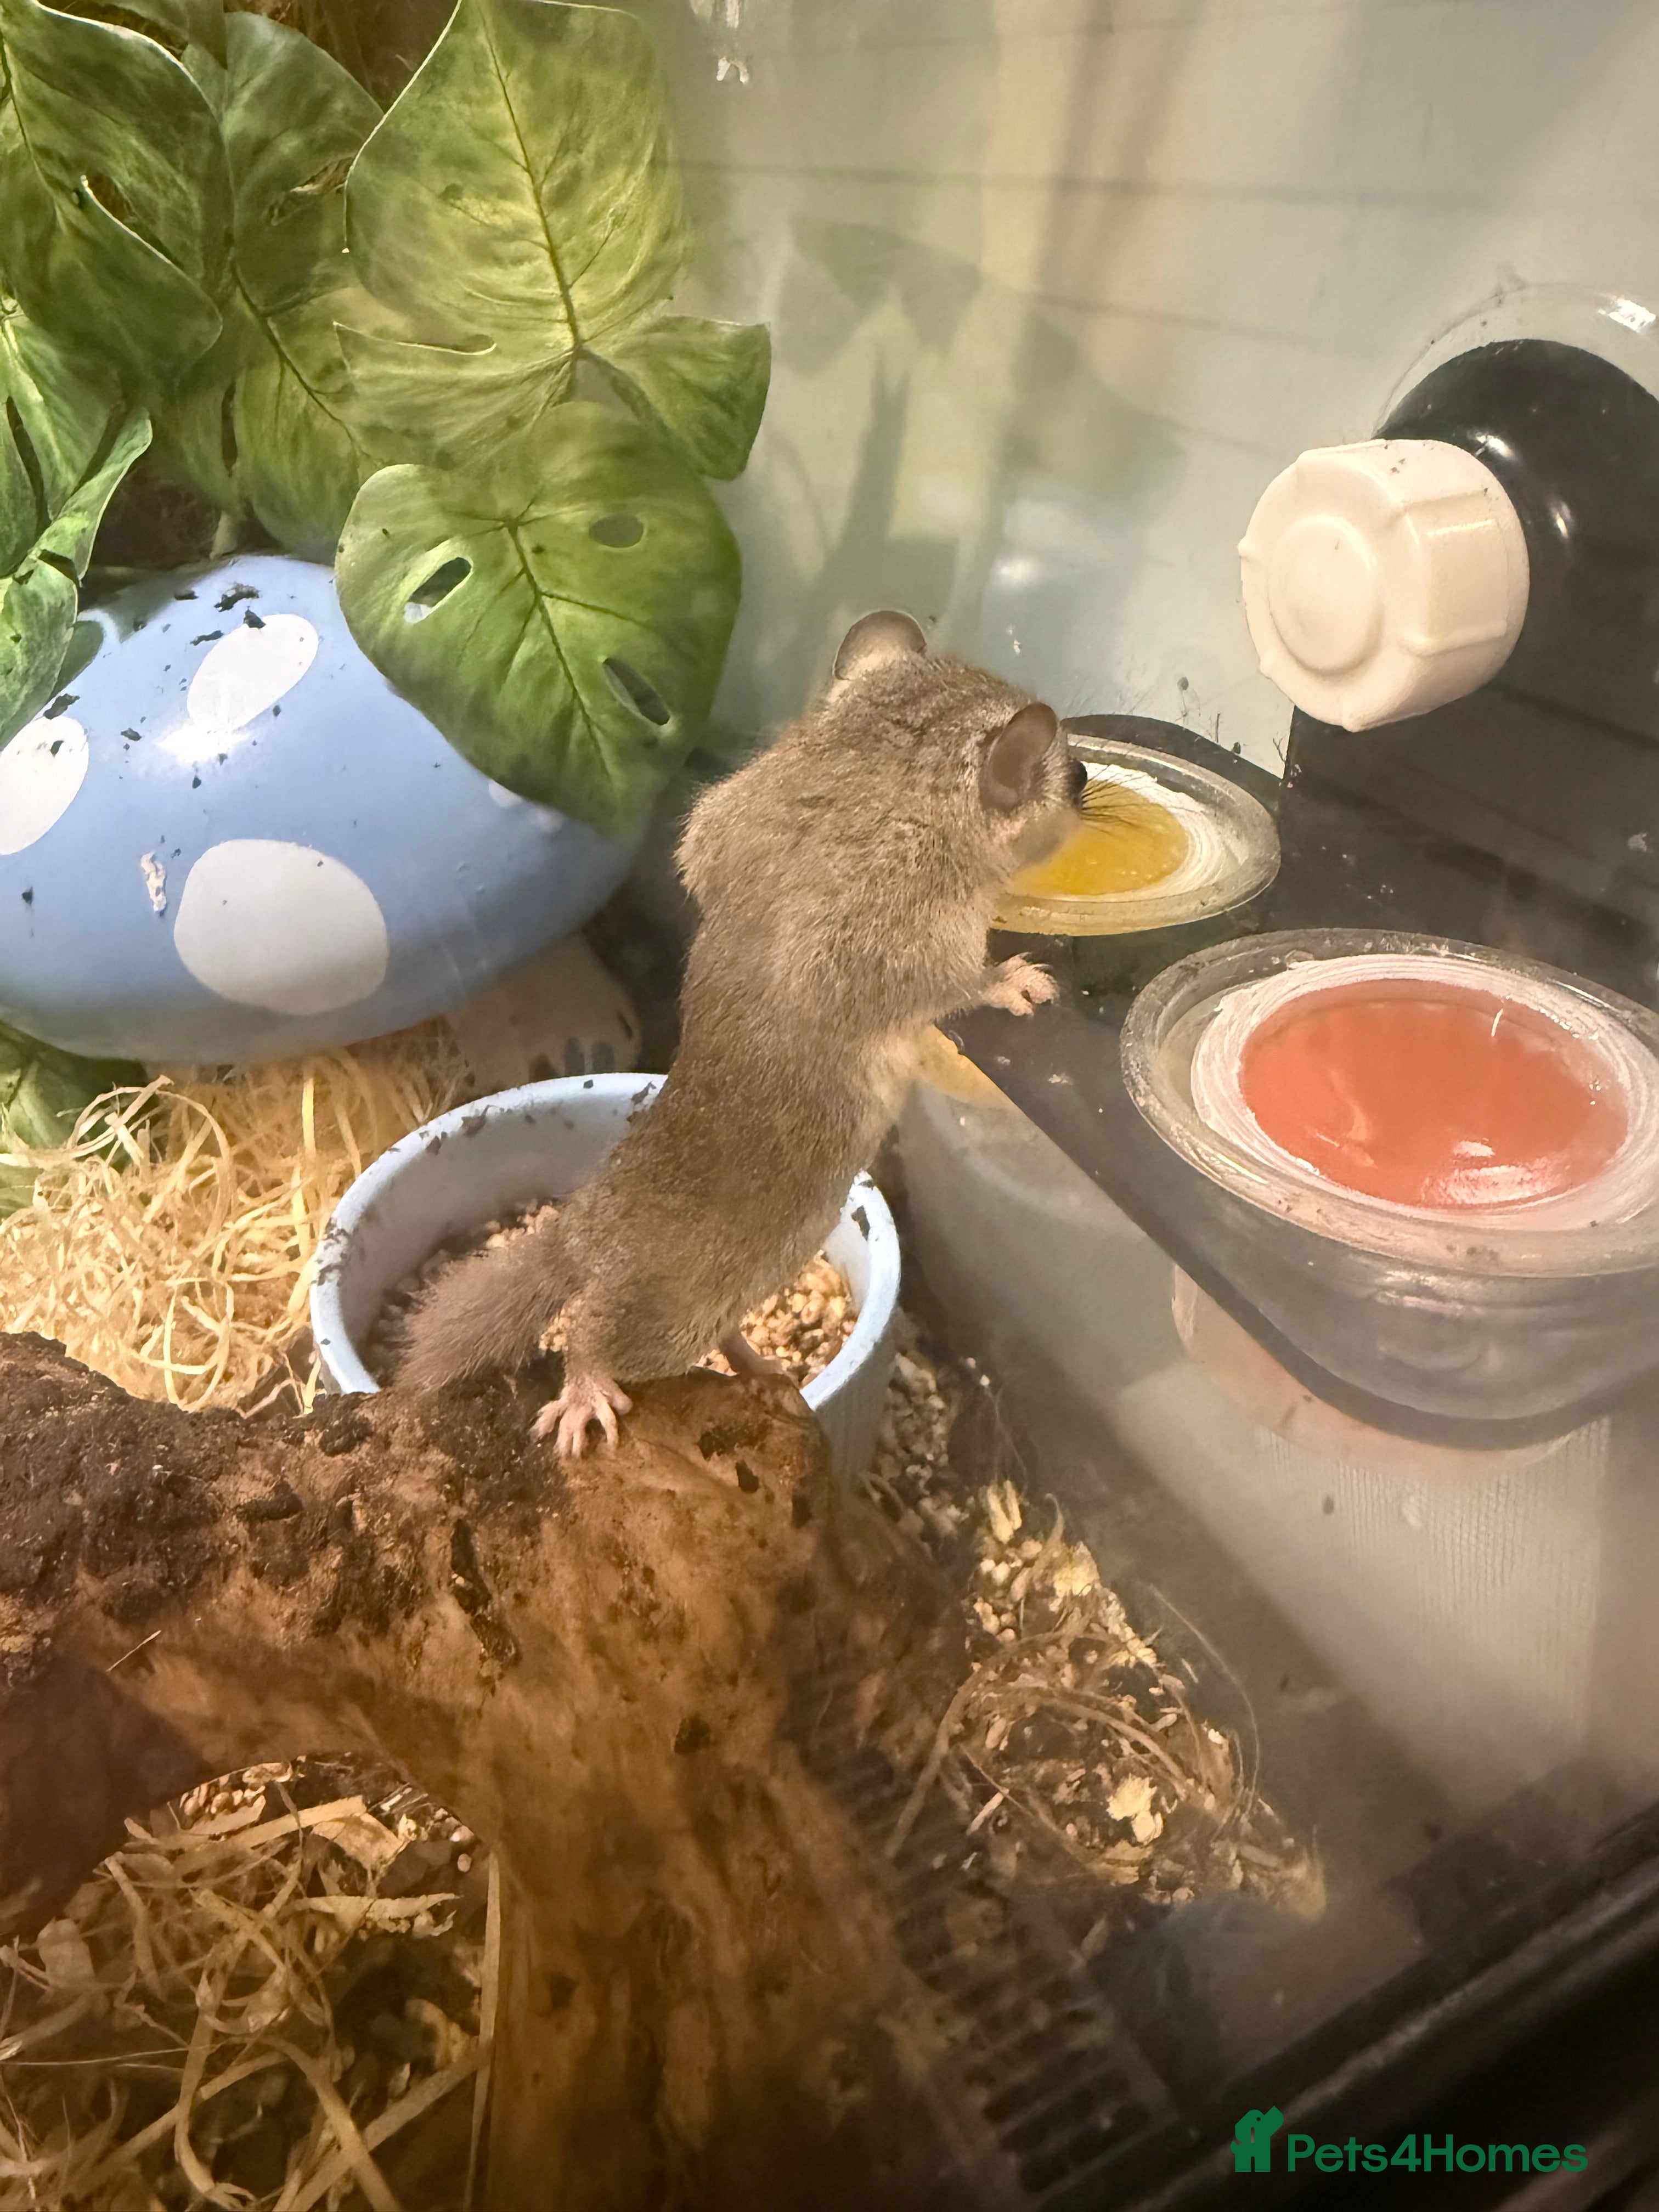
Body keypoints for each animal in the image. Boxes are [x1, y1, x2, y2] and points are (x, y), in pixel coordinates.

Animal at [397, 610, 1085, 1454]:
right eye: (1074, 775)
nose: (1092, 790)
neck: (875, 769)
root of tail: (583, 1233)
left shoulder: (724, 821)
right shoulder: (907, 944)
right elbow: (962, 985)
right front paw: (1018, 981)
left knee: (721, 1337)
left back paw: (763, 1371)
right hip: (667, 1319)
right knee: (592, 1335)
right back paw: (586, 1393)